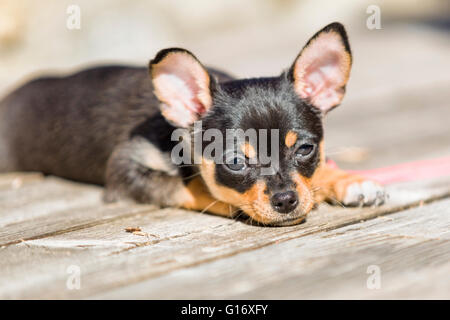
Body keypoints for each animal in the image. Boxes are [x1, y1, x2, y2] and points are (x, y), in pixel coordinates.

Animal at [0, 22, 384, 226]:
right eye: (235, 162)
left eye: (305, 149)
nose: (286, 200)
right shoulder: (126, 170)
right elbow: (193, 186)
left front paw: (347, 180)